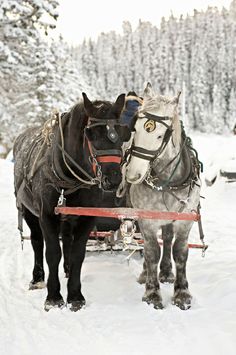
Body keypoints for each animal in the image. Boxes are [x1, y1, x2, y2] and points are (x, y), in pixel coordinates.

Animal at [13, 92, 131, 312]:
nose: (113, 179)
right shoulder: (47, 215)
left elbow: (78, 253)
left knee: (67, 238)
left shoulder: (87, 215)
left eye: (122, 133)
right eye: (91, 135)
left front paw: (75, 295)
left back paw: (67, 269)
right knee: (37, 241)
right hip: (28, 210)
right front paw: (54, 297)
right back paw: (37, 278)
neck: (68, 174)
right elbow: (52, 252)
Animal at [125, 83, 201, 312]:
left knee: (167, 238)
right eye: (135, 129)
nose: (133, 175)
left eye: (161, 135)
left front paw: (182, 293)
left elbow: (180, 253)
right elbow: (151, 253)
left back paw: (167, 271)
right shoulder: (147, 219)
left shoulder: (185, 220)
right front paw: (152, 293)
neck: (167, 181)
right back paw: (146, 274)